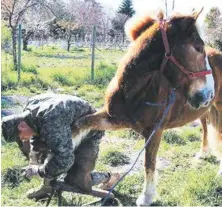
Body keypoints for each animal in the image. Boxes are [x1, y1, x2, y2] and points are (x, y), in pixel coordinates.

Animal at [71, 10, 217, 205]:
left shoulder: (155, 131)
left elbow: (149, 162)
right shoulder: (113, 119)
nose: (208, 93)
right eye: (199, 48)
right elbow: (81, 123)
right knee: (205, 127)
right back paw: (203, 153)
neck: (133, 90)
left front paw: (146, 197)